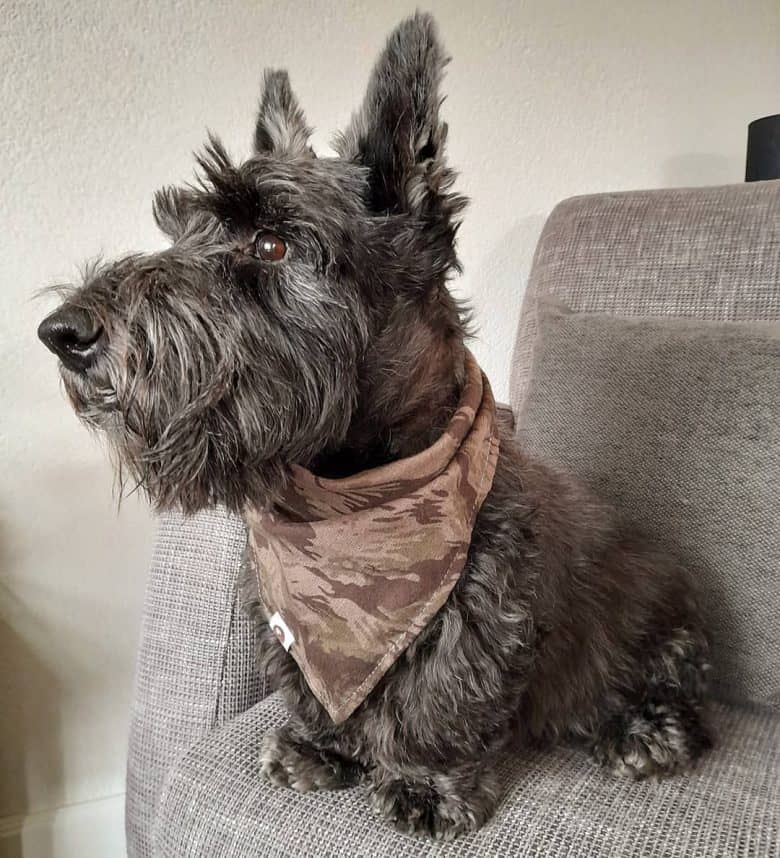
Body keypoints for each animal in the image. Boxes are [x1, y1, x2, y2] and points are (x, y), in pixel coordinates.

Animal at [38, 13, 712, 840]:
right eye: (179, 230)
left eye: (271, 242)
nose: (62, 333)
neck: (350, 487)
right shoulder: (291, 615)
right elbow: (313, 687)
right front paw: (323, 746)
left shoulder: (476, 608)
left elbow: (443, 694)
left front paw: (425, 783)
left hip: (654, 626)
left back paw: (645, 730)